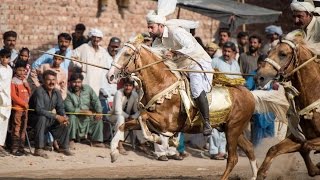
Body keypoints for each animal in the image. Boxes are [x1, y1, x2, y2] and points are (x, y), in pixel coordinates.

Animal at [107, 35, 258, 180]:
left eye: (127, 54)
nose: (110, 76)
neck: (162, 84)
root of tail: (250, 94)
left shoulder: (166, 124)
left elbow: (143, 118)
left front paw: (157, 138)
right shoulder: (151, 121)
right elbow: (125, 125)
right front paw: (113, 152)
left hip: (233, 129)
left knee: (233, 158)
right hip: (232, 129)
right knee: (249, 148)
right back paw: (254, 176)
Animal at [256, 32, 320, 179]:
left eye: (283, 54)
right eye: (269, 52)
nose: (260, 77)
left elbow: (306, 146)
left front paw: (317, 167)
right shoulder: (300, 137)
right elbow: (273, 149)